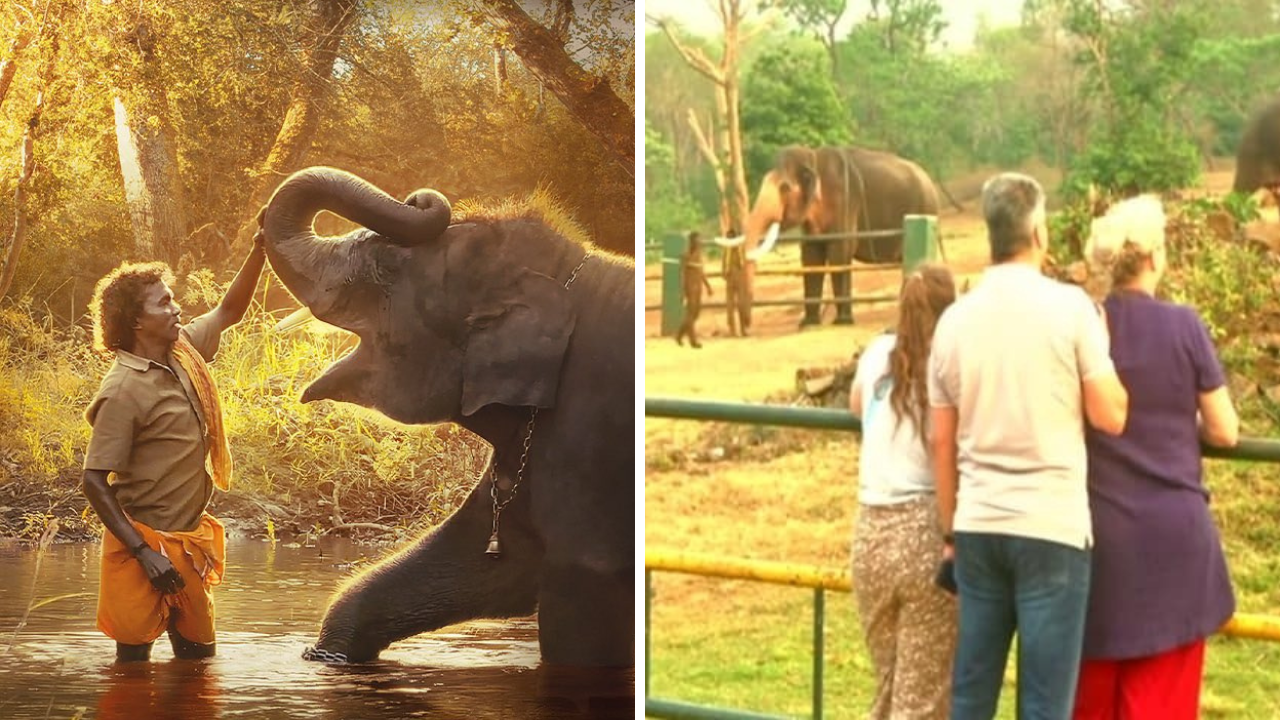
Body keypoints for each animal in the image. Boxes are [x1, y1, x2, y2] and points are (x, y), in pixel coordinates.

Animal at [742, 146, 942, 325]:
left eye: (784, 188)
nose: (748, 328)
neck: (814, 157)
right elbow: (811, 255)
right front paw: (808, 323)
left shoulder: (845, 200)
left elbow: (840, 252)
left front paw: (842, 321)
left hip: (925, 208)